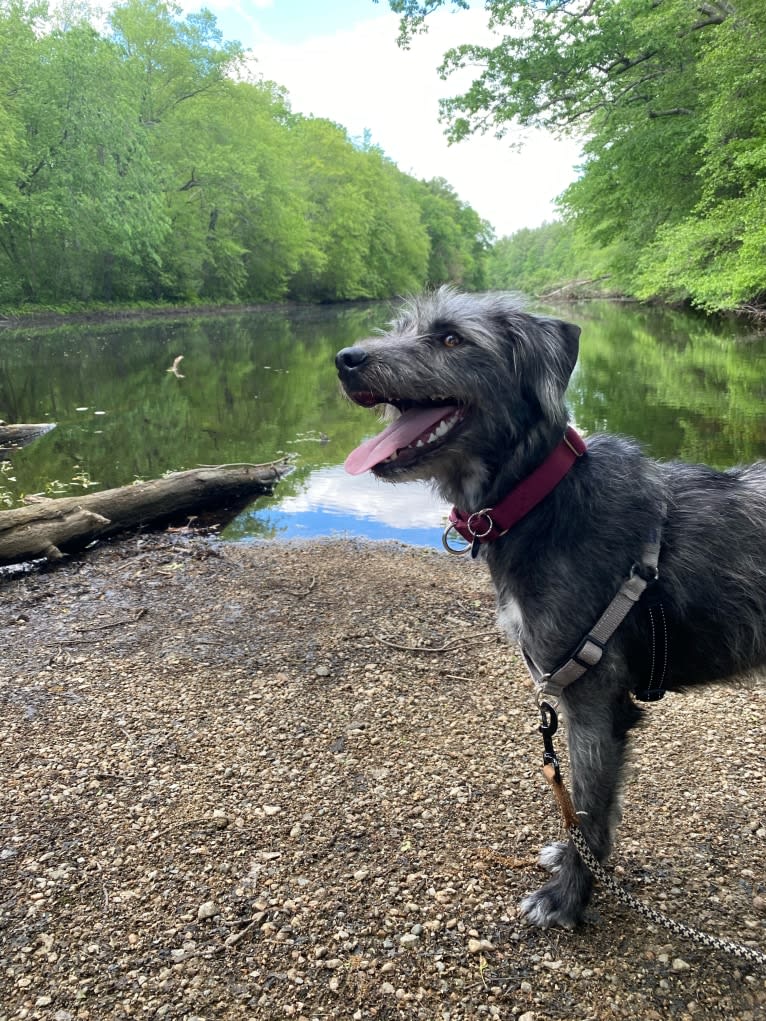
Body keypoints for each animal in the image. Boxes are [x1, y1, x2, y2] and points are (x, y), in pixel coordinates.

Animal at [334, 283, 766, 931]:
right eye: (400, 327)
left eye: (451, 339)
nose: (346, 359)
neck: (541, 497)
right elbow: (579, 814)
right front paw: (569, 862)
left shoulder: (593, 701)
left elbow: (586, 806)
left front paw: (567, 897)